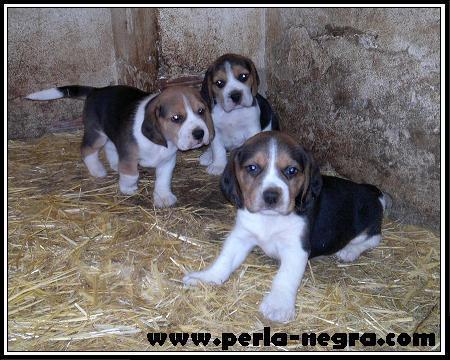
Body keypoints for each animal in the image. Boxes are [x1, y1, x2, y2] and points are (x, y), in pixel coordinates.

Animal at [26, 84, 214, 207]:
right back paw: (98, 170)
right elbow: (131, 174)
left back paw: (115, 164)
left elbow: (163, 179)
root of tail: (96, 90)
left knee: (110, 147)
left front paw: (163, 197)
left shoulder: (167, 160)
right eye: (176, 118)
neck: (160, 143)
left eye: (201, 111)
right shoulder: (129, 156)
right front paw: (128, 188)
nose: (199, 134)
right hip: (97, 135)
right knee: (87, 150)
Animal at [183, 131, 390, 322]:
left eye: (291, 170)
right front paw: (206, 277)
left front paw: (278, 305)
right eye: (252, 168)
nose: (271, 196)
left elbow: (285, 277)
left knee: (374, 238)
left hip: (366, 222)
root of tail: (373, 193)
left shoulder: (296, 249)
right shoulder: (241, 236)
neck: (269, 219)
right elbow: (224, 260)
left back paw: (349, 251)